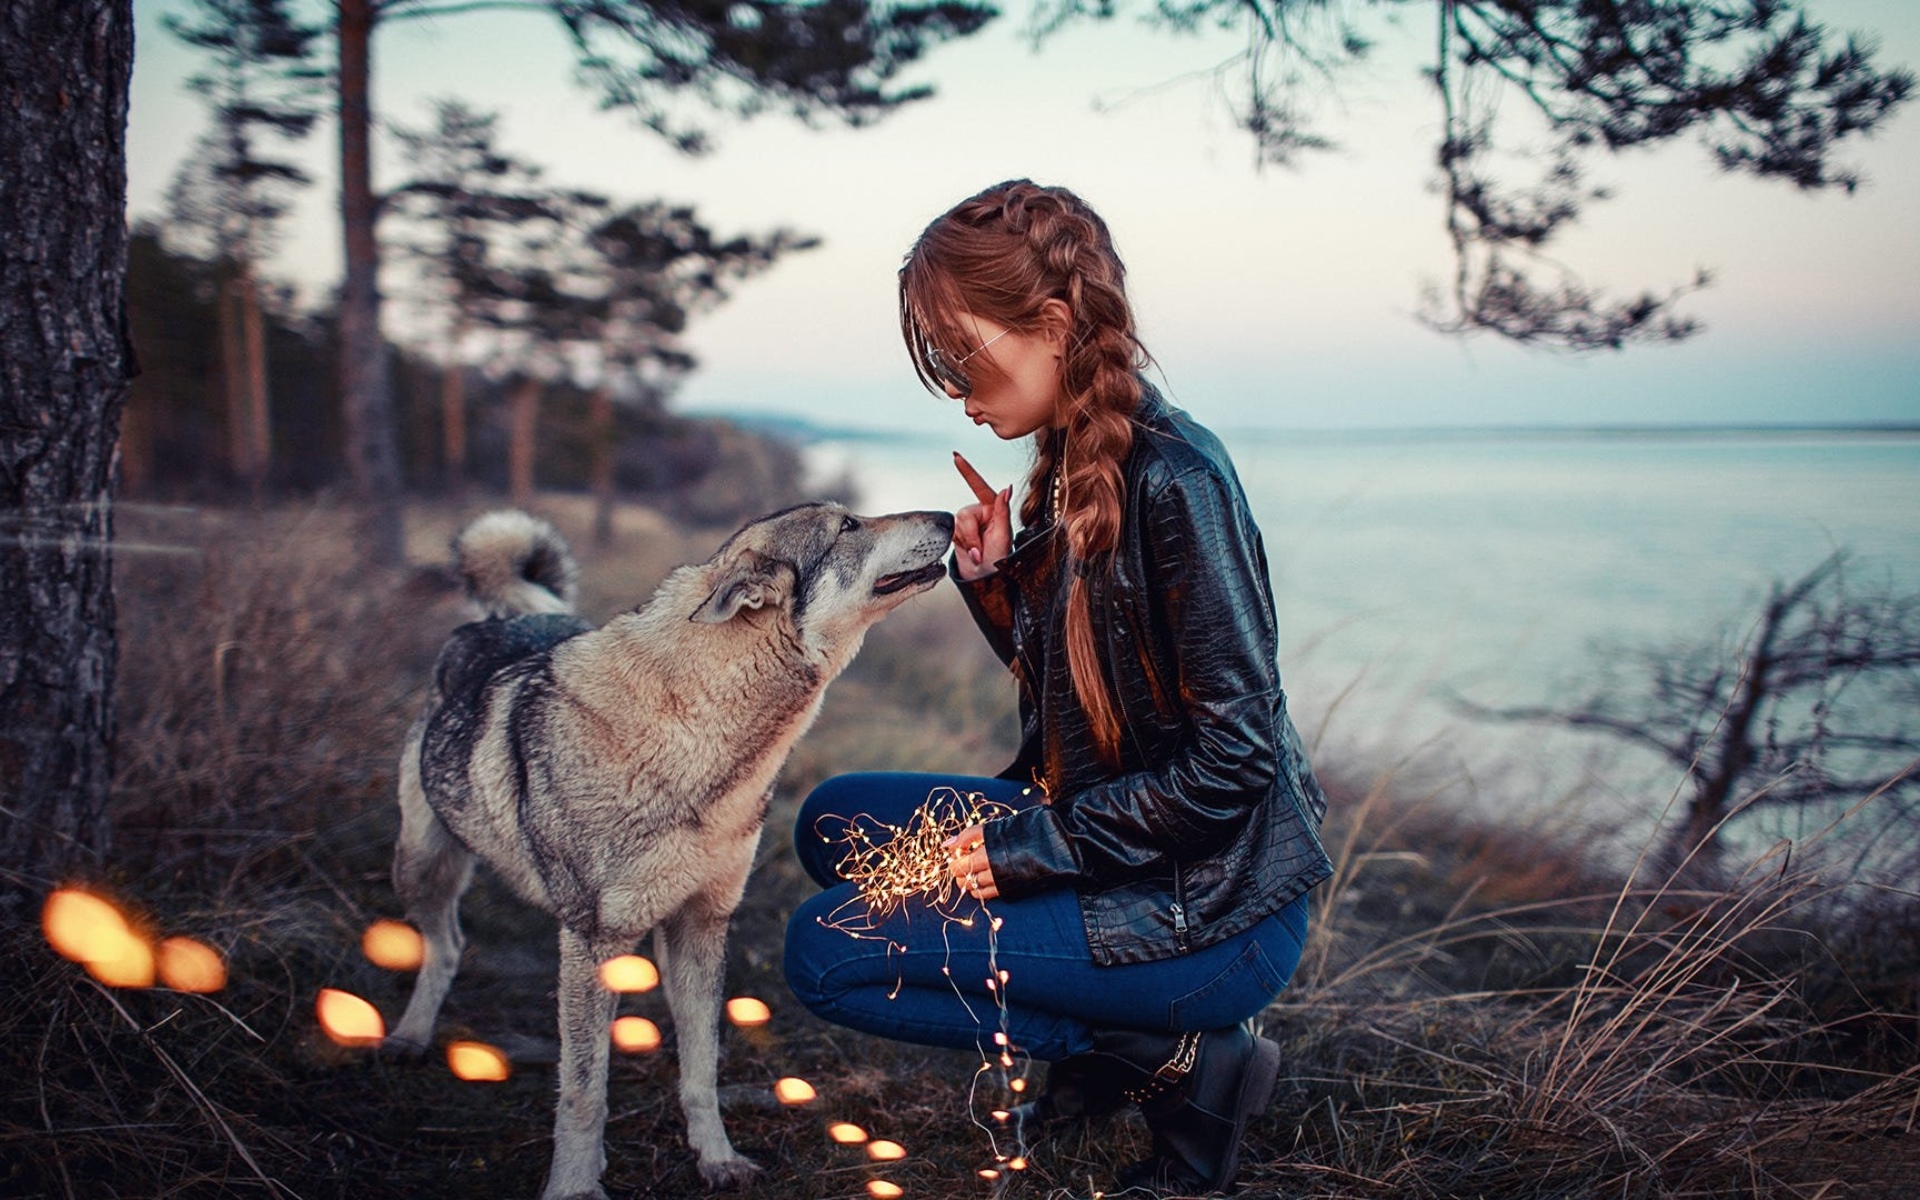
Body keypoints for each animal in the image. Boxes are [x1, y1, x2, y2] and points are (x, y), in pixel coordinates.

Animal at [387, 499, 952, 1190]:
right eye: (847, 526)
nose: (951, 516)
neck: (700, 736)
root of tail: (509, 618)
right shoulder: (594, 939)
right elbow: (583, 1090)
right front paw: (575, 1185)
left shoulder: (701, 924)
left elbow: (701, 1067)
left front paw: (717, 1159)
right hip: (422, 865)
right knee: (445, 945)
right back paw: (410, 1037)